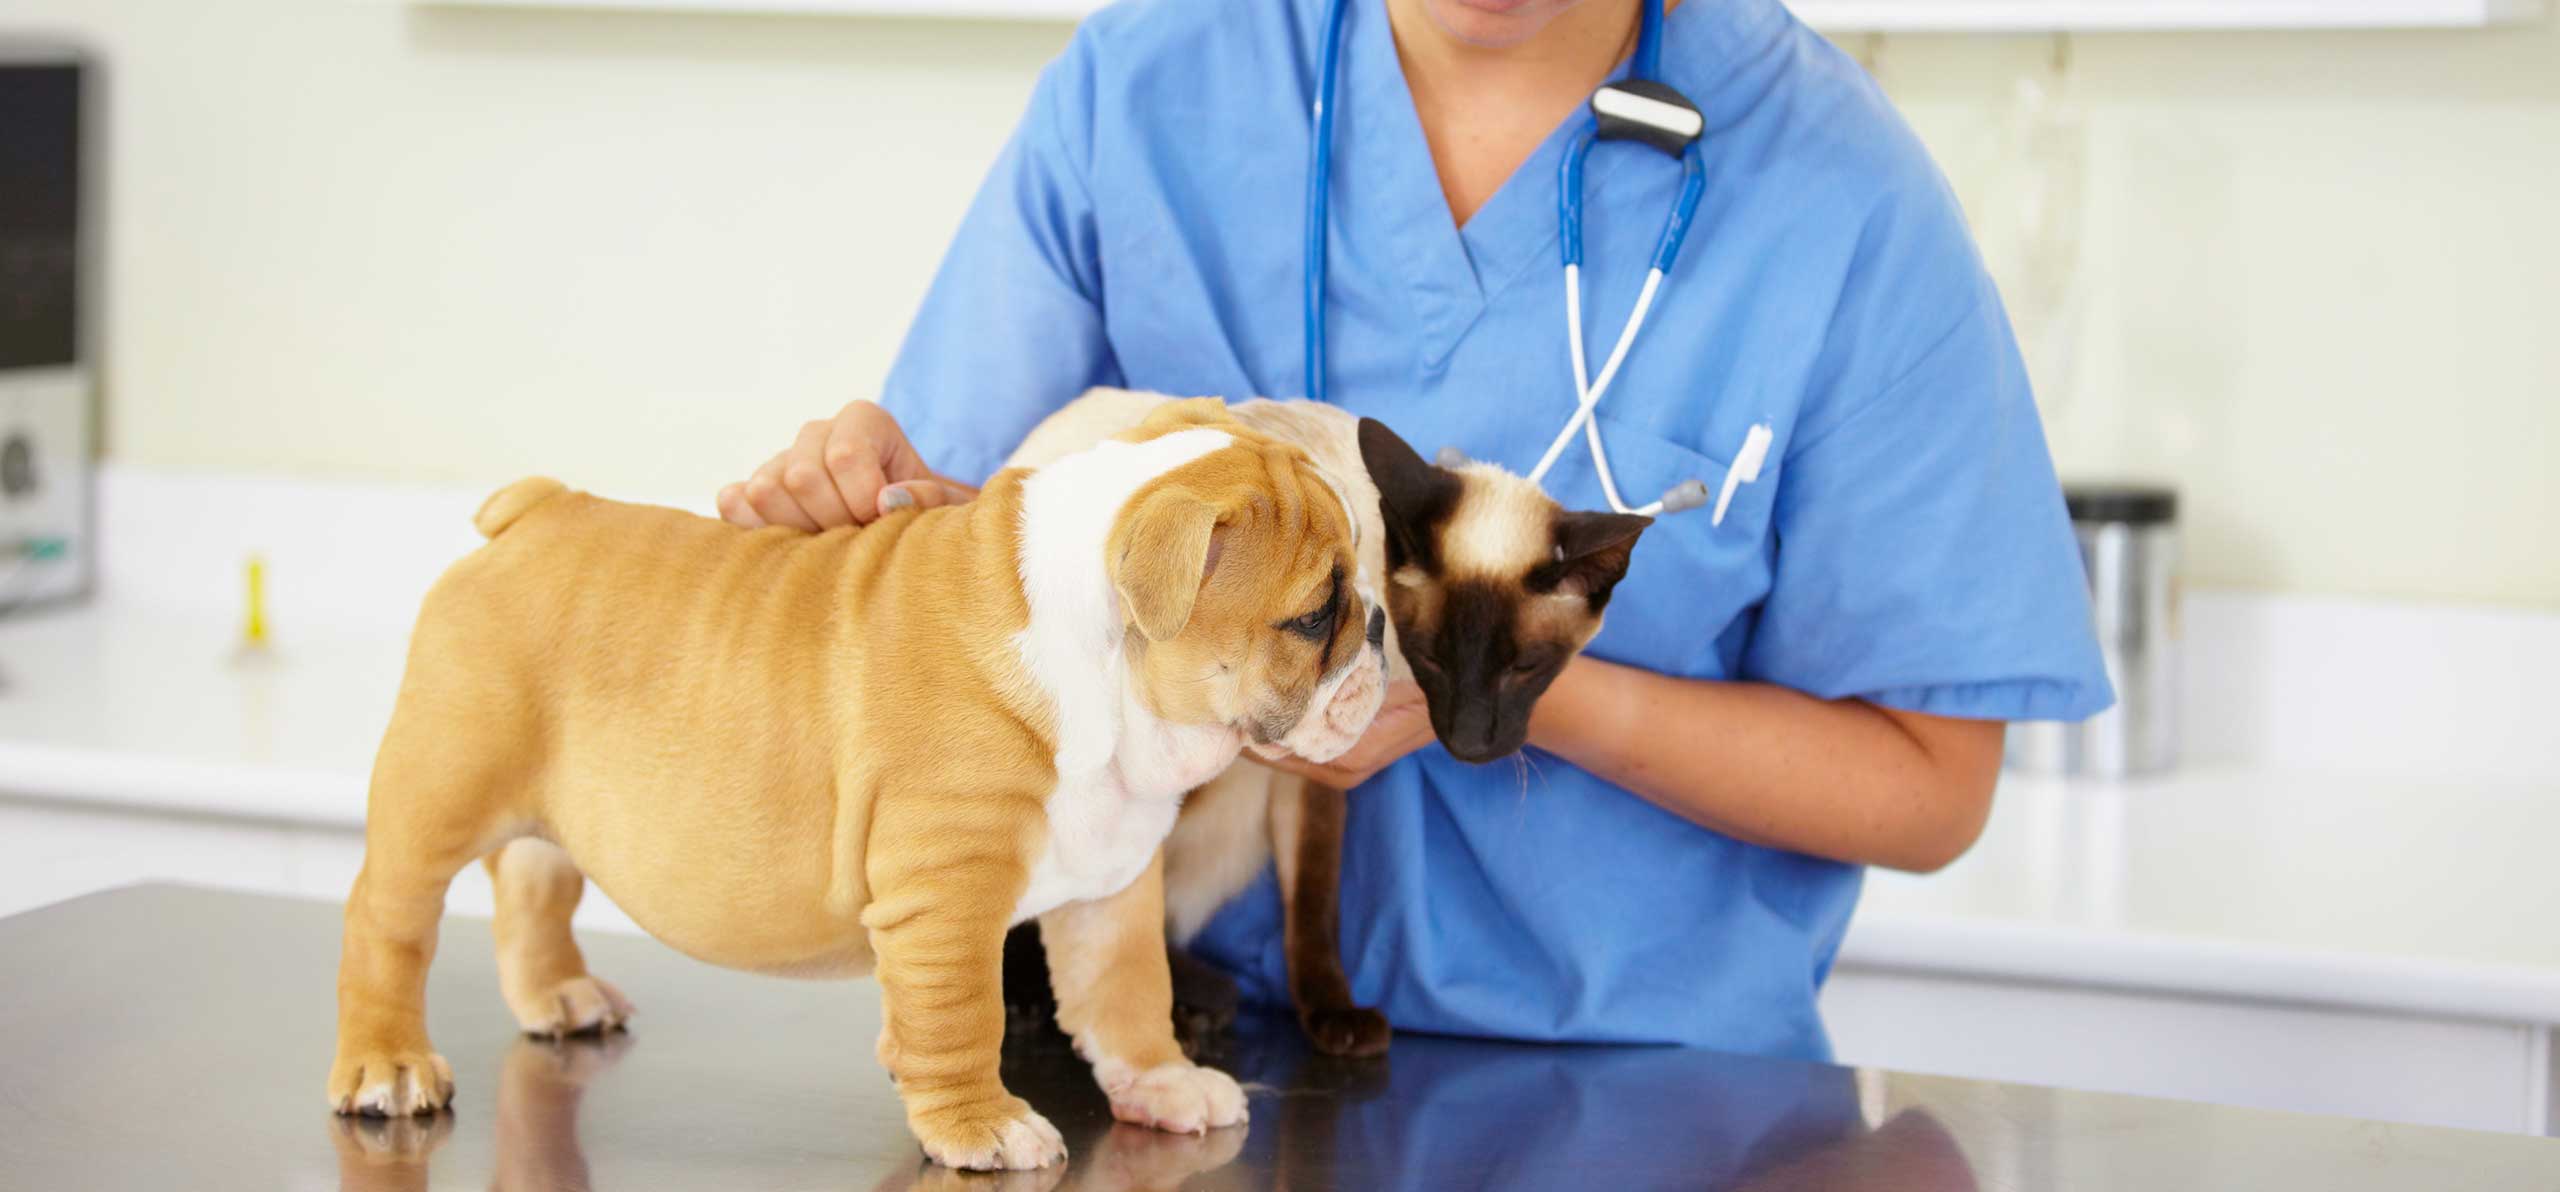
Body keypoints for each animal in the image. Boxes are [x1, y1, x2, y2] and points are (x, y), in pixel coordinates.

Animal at [335, 396, 1402, 1166]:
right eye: (1315, 615)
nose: (1383, 625)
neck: (1102, 672)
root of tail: (538, 509)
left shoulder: (1111, 887)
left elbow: (1128, 993)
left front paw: (1162, 1083)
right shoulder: (947, 895)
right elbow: (962, 1016)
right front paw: (982, 1127)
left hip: (558, 807)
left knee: (531, 884)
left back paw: (555, 995)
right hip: (440, 792)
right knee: (389, 922)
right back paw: (389, 1063)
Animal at [988, 386, 1648, 1058]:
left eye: (1526, 668)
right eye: (1434, 657)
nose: (1469, 742)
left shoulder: (1305, 783)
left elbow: (1312, 903)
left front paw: (1334, 1018)